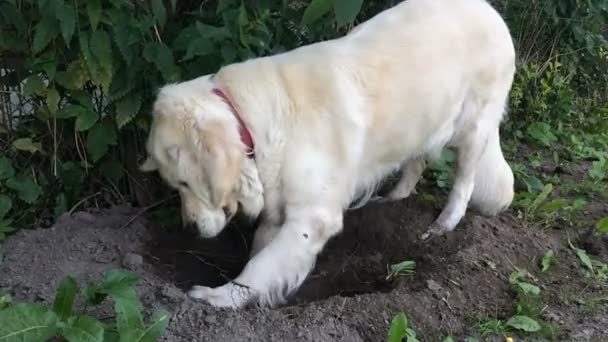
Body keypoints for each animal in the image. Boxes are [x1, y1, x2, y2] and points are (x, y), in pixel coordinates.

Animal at [140, 0, 516, 310]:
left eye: (184, 183)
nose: (188, 228)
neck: (251, 120)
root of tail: (492, 12)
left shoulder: (312, 217)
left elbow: (261, 265)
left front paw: (222, 296)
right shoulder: (278, 210)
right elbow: (263, 253)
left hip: (473, 129)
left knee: (463, 182)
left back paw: (444, 223)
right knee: (416, 162)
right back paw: (393, 199)